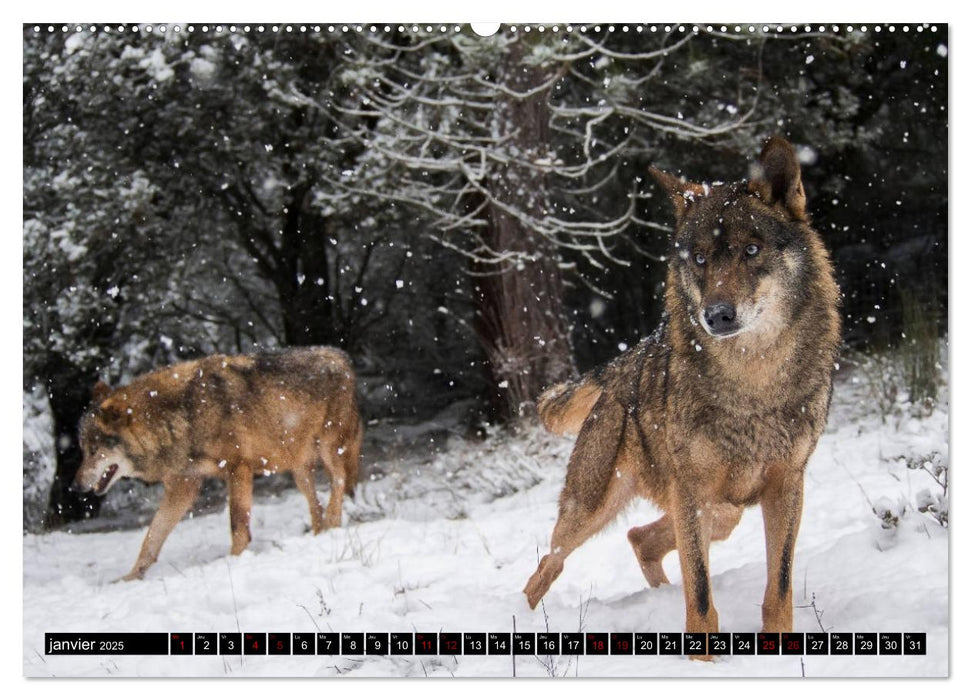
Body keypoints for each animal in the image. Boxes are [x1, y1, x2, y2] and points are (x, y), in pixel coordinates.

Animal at [72, 344, 360, 580]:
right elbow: (151, 537)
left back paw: (334, 522)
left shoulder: (238, 468)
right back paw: (320, 534)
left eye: (95, 450)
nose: (75, 487)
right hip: (298, 470)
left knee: (339, 481)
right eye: (83, 450)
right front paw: (130, 578)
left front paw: (234, 561)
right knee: (316, 504)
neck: (183, 416)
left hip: (329, 449)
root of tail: (341, 356)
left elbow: (237, 523)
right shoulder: (182, 487)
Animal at [524, 138, 844, 656]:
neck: (752, 381)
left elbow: (778, 589)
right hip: (597, 510)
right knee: (546, 567)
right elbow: (701, 596)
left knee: (639, 537)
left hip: (722, 511)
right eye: (698, 259)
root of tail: (621, 365)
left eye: (751, 250)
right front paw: (701, 663)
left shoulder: (787, 485)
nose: (717, 315)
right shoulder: (692, 490)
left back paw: (658, 595)